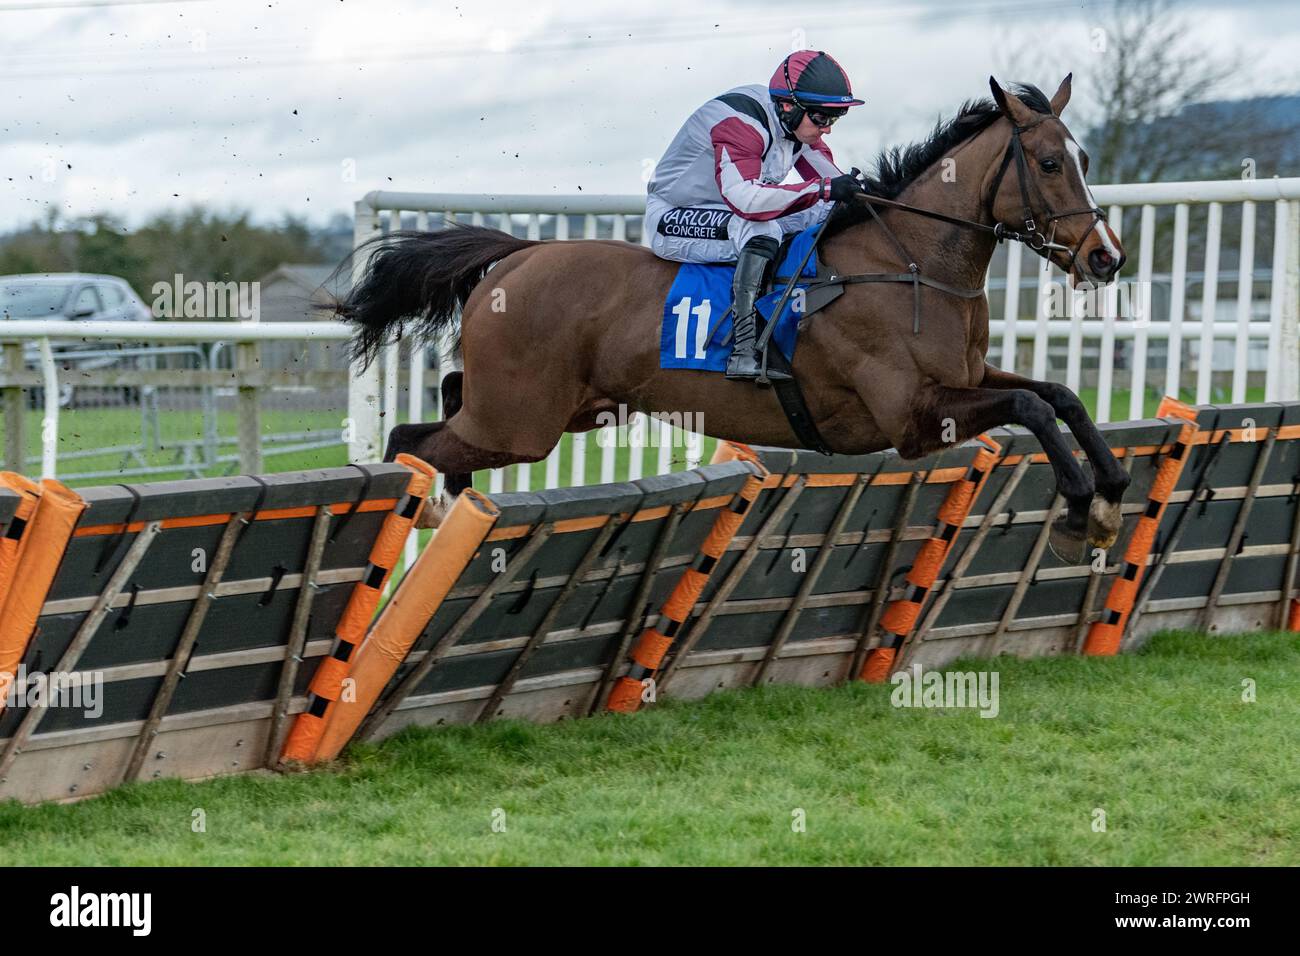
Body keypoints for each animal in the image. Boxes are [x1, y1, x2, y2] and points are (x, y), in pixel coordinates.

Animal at [332, 78, 1128, 564]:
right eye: (1050, 163)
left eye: (1085, 157)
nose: (1106, 257)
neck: (908, 262)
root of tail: (517, 255)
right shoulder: (911, 419)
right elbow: (1031, 406)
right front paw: (1079, 509)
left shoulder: (965, 379)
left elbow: (1059, 397)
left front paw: (1113, 491)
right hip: (521, 423)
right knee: (413, 441)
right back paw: (434, 514)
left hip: (555, 411)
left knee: (447, 402)